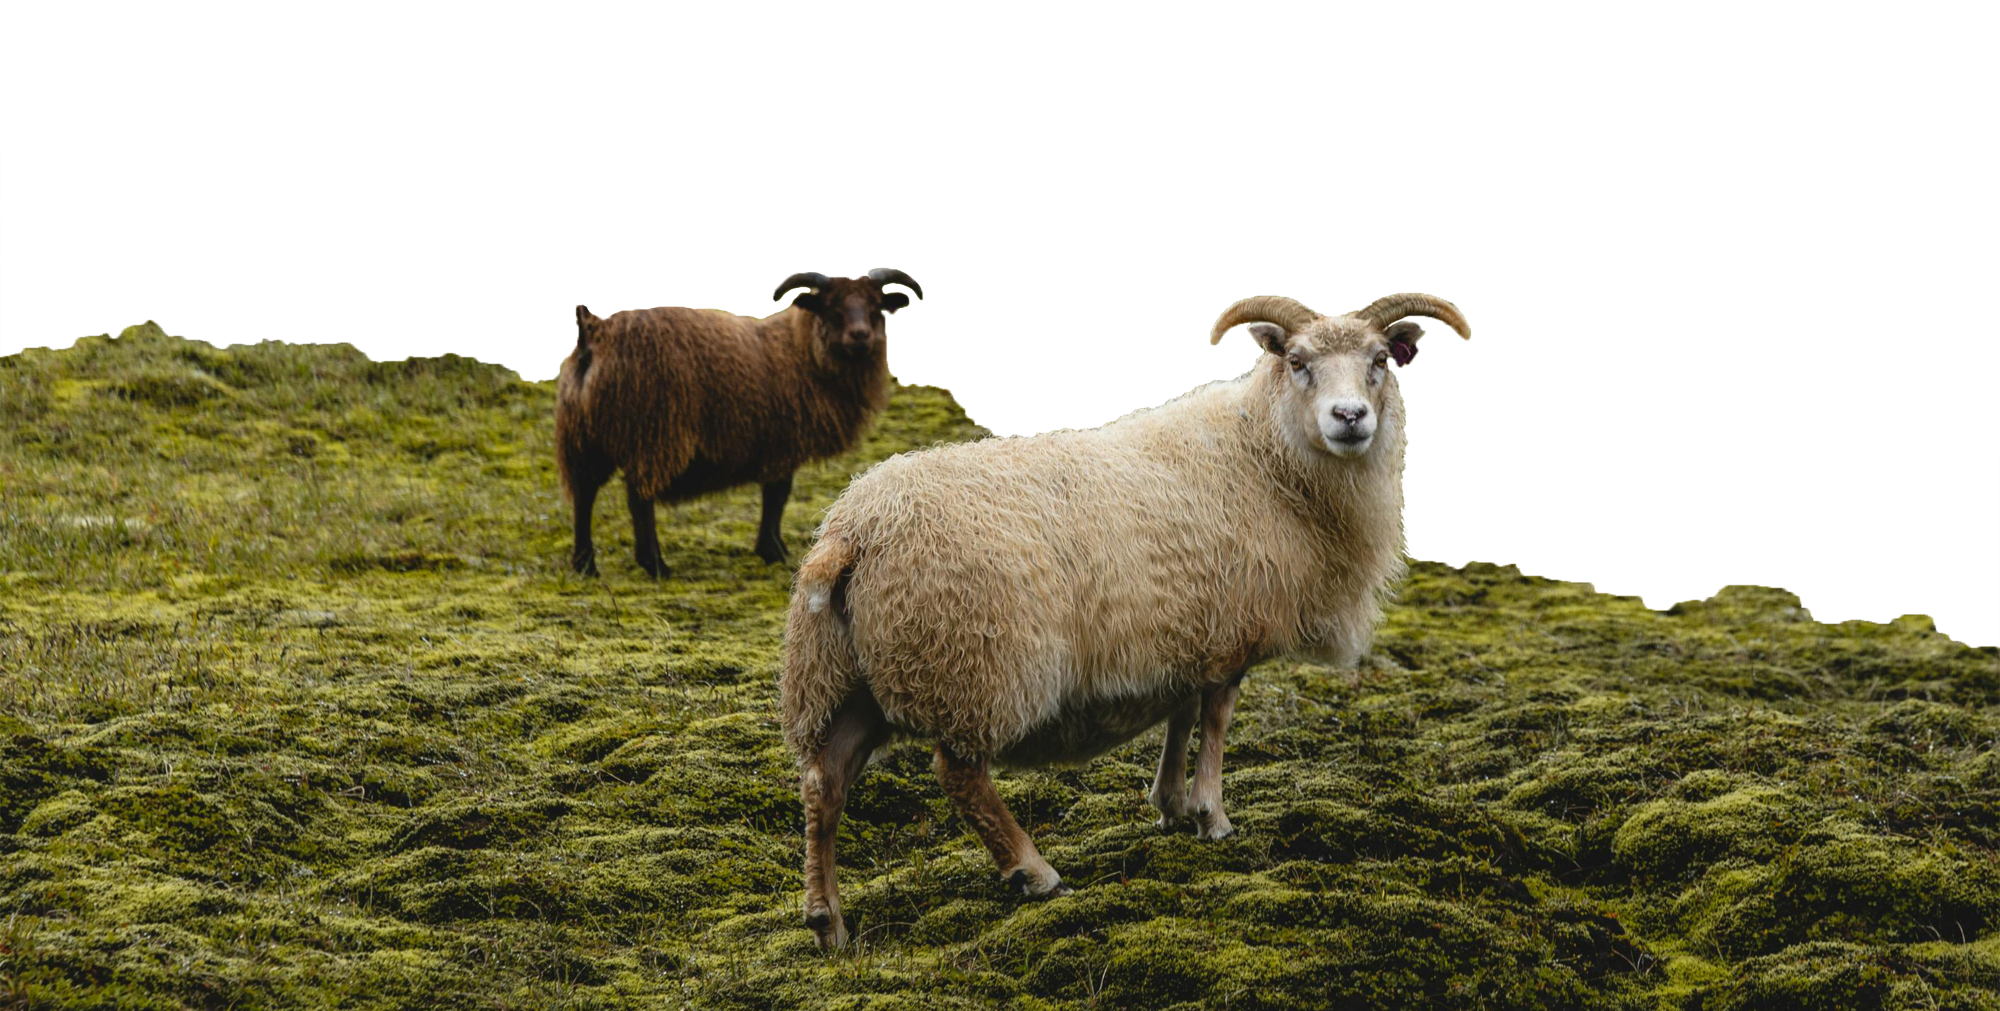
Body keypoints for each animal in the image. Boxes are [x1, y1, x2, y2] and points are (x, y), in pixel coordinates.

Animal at [555, 268, 922, 576]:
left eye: (876, 306)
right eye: (831, 306)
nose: (861, 336)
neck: (801, 352)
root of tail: (594, 332)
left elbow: (776, 496)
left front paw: (772, 548)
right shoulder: (781, 444)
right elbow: (777, 496)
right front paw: (773, 550)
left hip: (583, 438)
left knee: (584, 496)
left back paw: (585, 564)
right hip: (651, 433)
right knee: (639, 500)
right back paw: (655, 564)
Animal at [779, 292, 1471, 949]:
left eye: (1379, 360)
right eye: (1297, 362)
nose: (1349, 417)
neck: (1266, 456)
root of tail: (854, 531)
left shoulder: (1189, 629)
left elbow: (1181, 713)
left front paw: (1168, 805)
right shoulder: (1229, 634)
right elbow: (1214, 720)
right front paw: (1211, 817)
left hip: (845, 678)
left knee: (823, 784)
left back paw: (826, 921)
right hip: (971, 666)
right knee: (960, 777)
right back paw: (1035, 872)